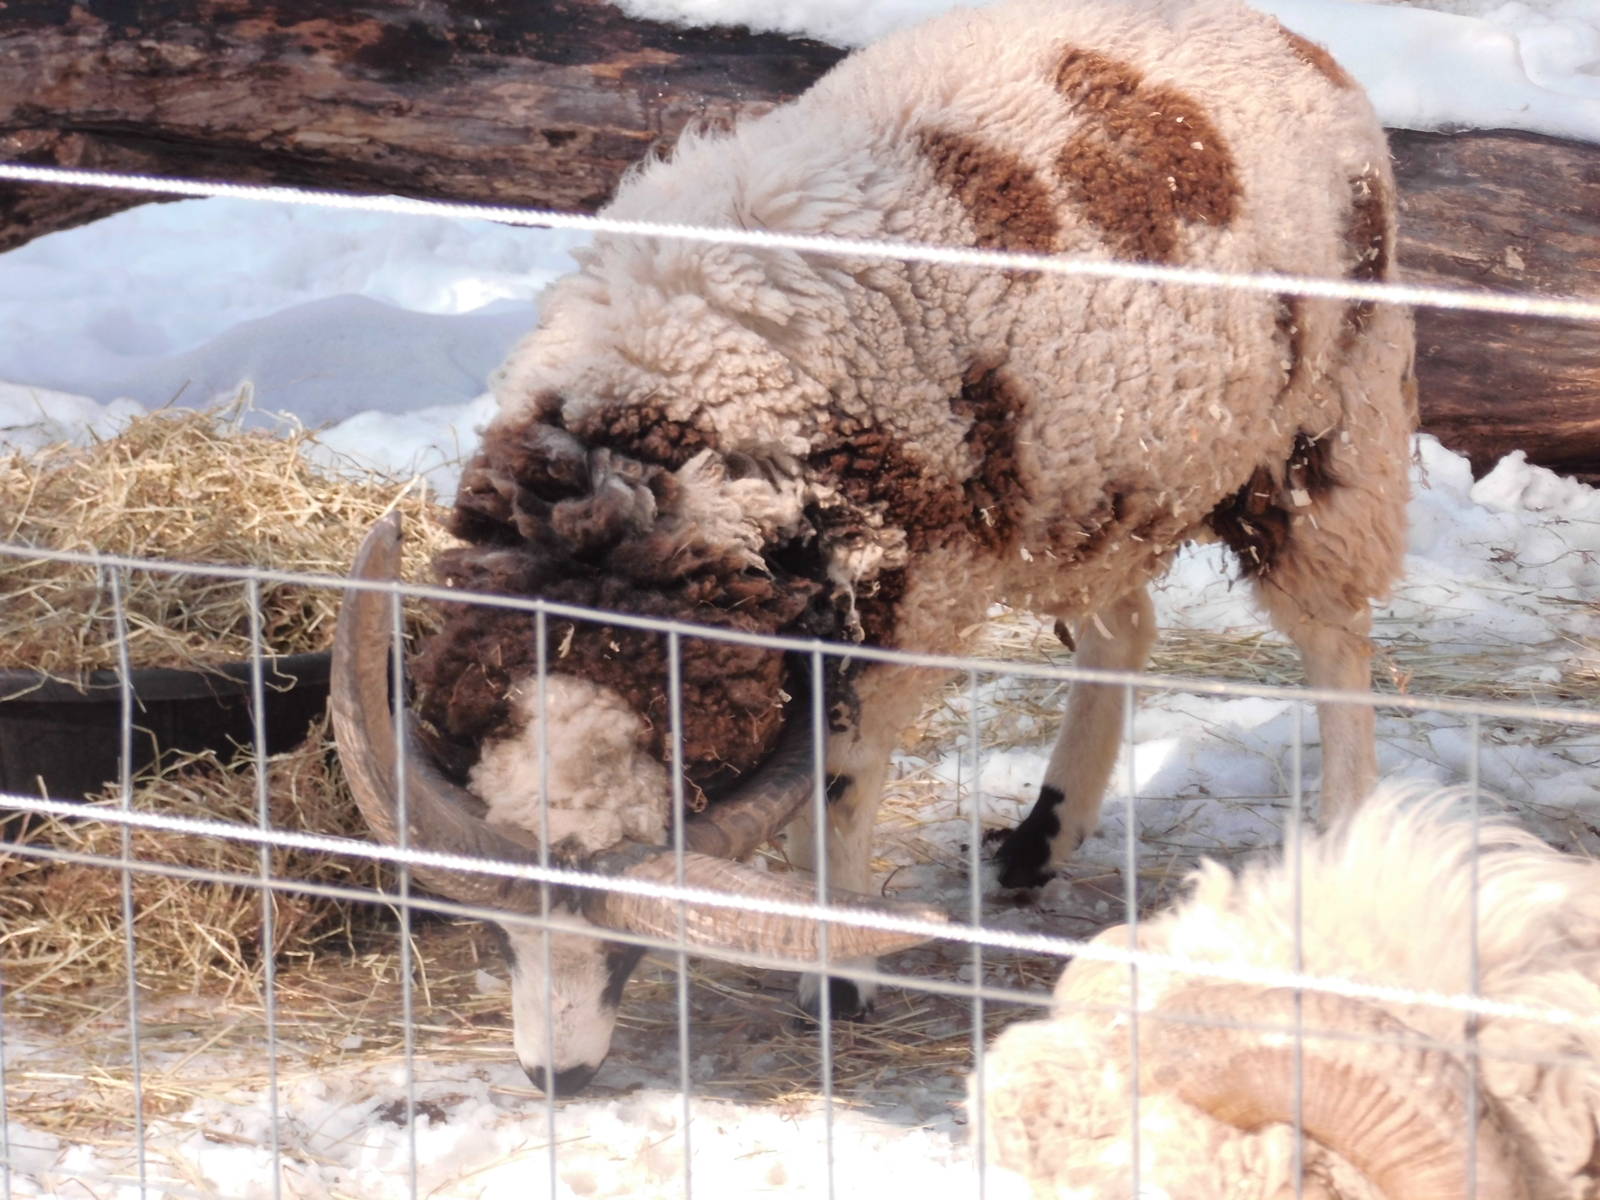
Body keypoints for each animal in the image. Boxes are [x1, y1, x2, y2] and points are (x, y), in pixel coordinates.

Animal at [332, 0, 1417, 1094]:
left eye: (627, 932)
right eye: (498, 923)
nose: (554, 1074)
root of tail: (1285, 38)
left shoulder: (903, 598)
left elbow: (840, 788)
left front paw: (834, 980)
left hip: (1327, 431)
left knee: (1336, 648)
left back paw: (1341, 845)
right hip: (1087, 486)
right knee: (1125, 628)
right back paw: (1037, 843)